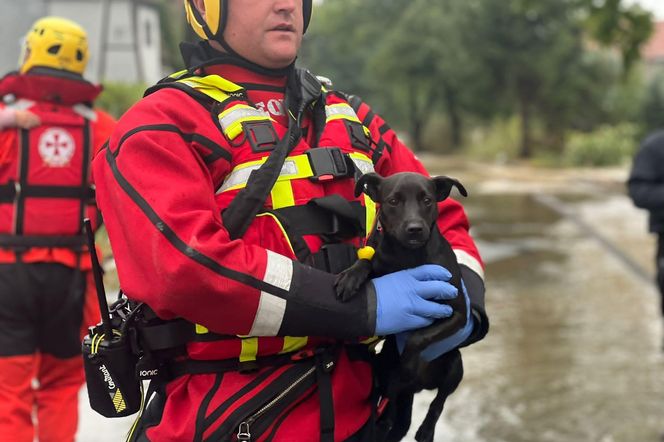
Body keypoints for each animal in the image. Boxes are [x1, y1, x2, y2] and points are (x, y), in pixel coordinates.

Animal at [334, 172, 470, 442]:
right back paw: (384, 420)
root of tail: (418, 387)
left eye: (427, 200)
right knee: (391, 396)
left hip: (455, 366)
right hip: (380, 370)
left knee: (437, 401)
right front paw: (351, 276)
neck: (407, 256)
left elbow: (417, 338)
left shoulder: (458, 314)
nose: (415, 228)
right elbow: (367, 262)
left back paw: (425, 429)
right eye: (394, 201)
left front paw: (407, 361)